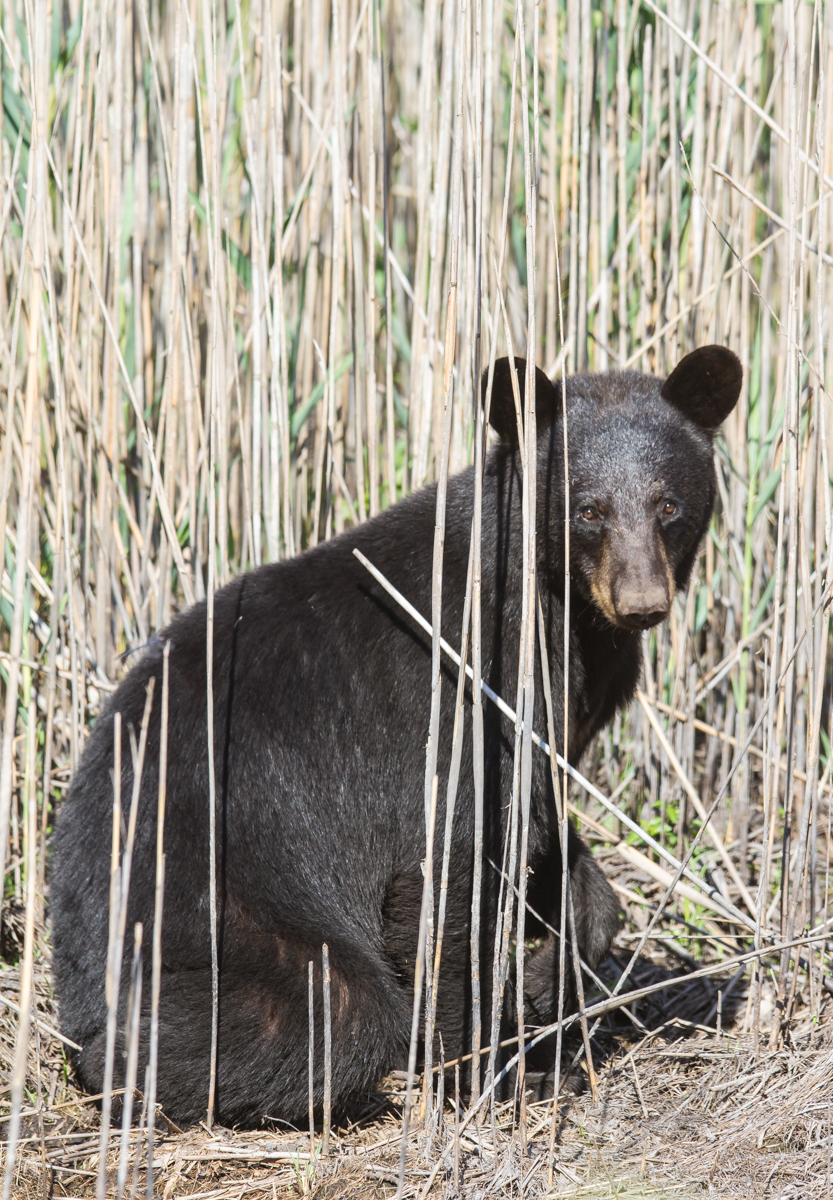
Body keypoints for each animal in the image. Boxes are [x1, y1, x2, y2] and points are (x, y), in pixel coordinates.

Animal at [50, 345, 742, 1129]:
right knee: (337, 1012)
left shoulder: (556, 715)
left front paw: (547, 973)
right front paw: (492, 1075)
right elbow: (448, 868)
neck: (557, 605)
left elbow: (547, 843)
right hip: (222, 911)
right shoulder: (466, 693)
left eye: (668, 505)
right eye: (588, 509)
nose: (641, 604)